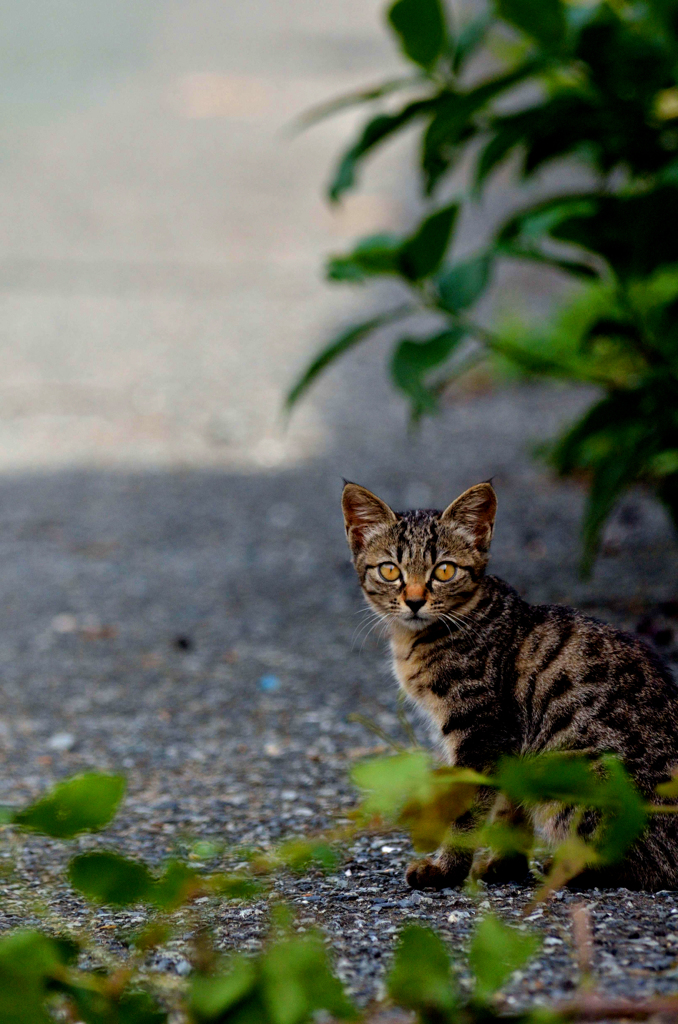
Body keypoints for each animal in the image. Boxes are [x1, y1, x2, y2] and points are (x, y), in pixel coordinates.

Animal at [342, 479, 678, 888]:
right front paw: (506, 863)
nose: (415, 601)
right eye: (390, 571)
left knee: (645, 865)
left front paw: (447, 869)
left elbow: (467, 809)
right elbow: (508, 806)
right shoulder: (508, 745)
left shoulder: (484, 732)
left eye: (444, 571)